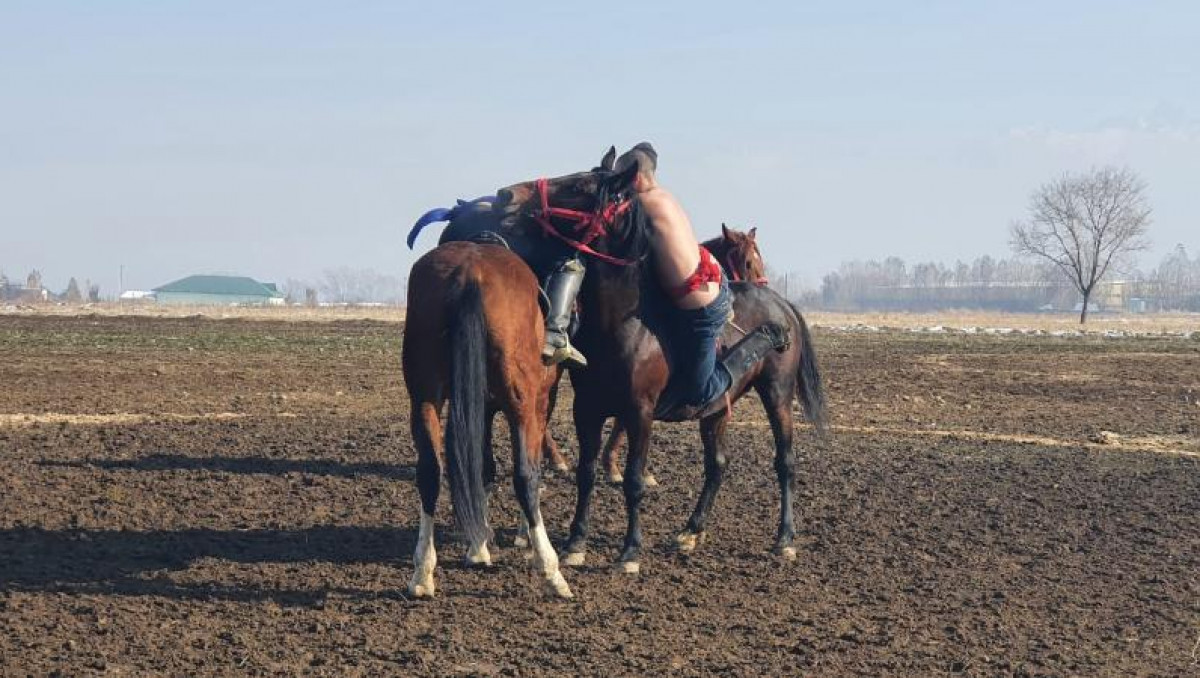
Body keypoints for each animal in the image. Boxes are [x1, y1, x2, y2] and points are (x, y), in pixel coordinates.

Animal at [400, 238, 573, 597]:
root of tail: (470, 272)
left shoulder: (480, 408)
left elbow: (482, 468)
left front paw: (478, 545)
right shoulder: (539, 403)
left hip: (424, 398)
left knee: (430, 473)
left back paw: (422, 572)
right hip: (521, 402)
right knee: (524, 476)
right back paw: (551, 570)